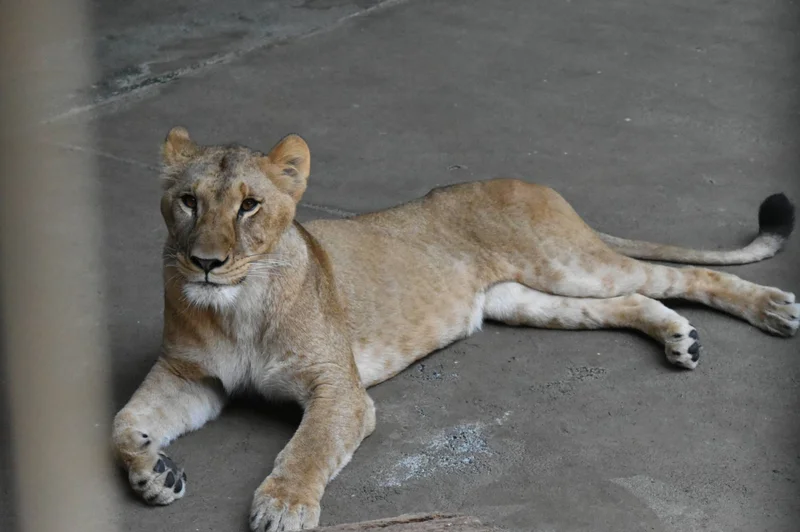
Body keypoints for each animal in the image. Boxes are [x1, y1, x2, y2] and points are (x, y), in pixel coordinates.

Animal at [112, 127, 798, 531]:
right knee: (634, 298)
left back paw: (773, 310)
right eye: (189, 201)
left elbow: (308, 447)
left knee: (678, 273)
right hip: (526, 299)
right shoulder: (192, 377)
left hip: (571, 265)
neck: (238, 305)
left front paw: (284, 506)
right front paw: (155, 473)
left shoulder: (339, 389)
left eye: (250, 205)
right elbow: (122, 425)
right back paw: (681, 337)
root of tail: (528, 181)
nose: (205, 262)